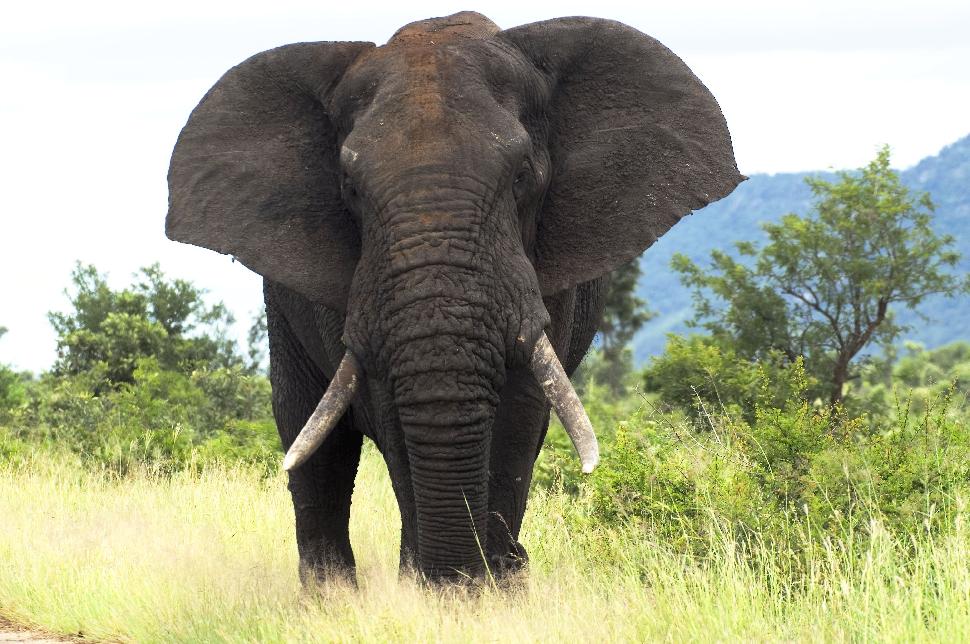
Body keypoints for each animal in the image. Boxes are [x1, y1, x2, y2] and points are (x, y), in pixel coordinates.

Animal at [166, 11, 740, 584]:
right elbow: (392, 417)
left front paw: (491, 586)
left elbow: (516, 421)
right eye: (349, 186)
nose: (459, 578)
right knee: (309, 437)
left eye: (523, 174)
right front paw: (435, 588)